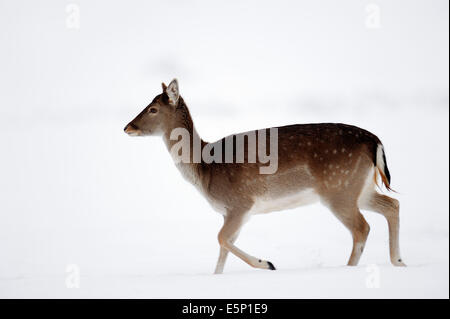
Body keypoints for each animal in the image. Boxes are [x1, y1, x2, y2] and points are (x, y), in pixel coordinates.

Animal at [125, 78, 406, 276]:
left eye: (152, 109)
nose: (127, 126)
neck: (206, 170)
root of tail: (375, 142)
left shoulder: (240, 203)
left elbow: (220, 238)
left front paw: (267, 263)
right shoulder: (232, 212)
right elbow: (222, 252)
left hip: (339, 189)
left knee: (362, 227)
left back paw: (350, 269)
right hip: (359, 188)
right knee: (392, 204)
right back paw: (399, 261)